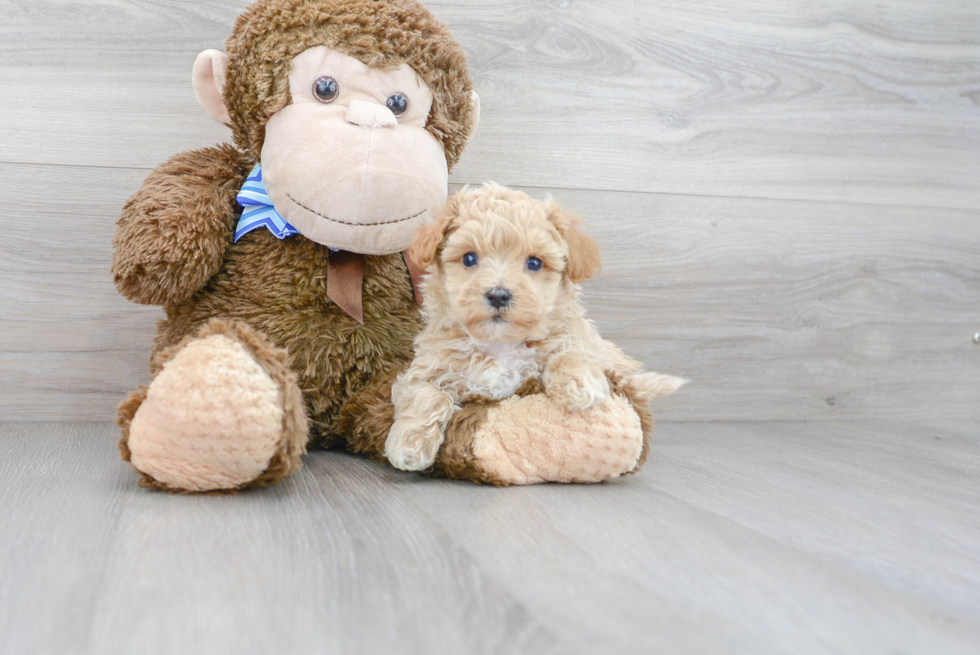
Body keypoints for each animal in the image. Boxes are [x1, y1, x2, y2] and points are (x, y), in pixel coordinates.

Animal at [382, 184, 680, 472]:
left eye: (534, 263)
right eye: (468, 259)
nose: (498, 295)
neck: (499, 344)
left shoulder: (578, 343)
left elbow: (569, 354)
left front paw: (579, 384)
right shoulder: (427, 367)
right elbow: (427, 395)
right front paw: (408, 447)